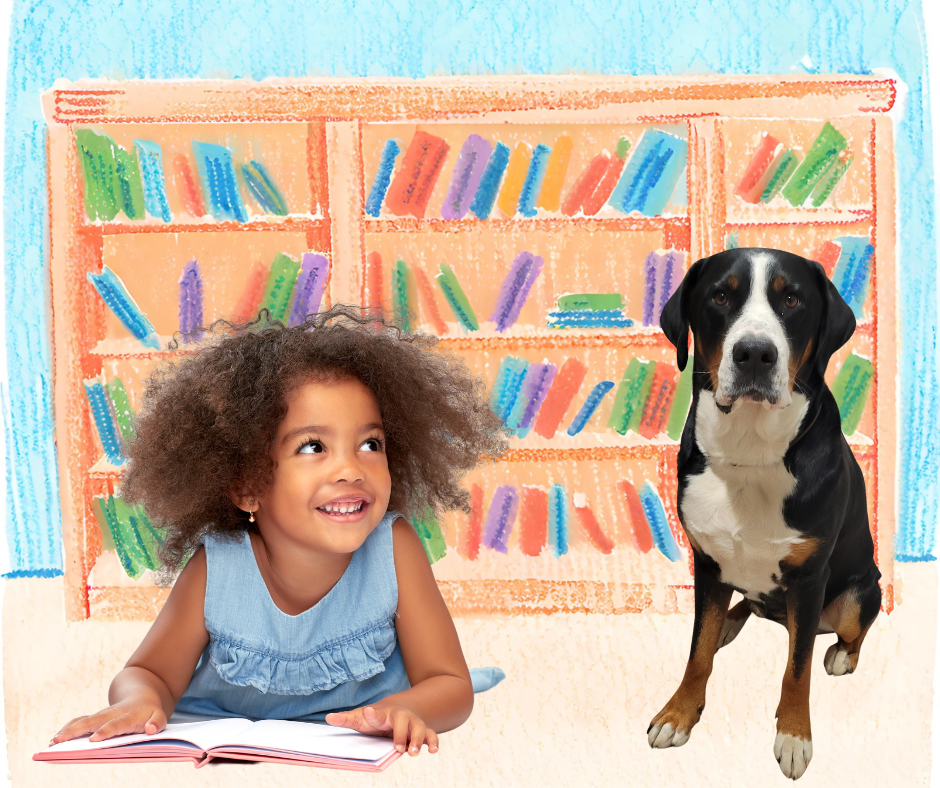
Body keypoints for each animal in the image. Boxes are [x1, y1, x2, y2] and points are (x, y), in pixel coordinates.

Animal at [648, 249, 876, 780]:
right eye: (720, 295)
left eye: (791, 298)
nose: (754, 353)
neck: (749, 455)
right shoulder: (707, 563)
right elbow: (697, 652)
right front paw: (677, 713)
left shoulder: (810, 577)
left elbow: (797, 669)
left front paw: (794, 736)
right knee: (742, 610)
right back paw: (730, 624)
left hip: (858, 592)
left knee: (846, 629)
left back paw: (841, 655)